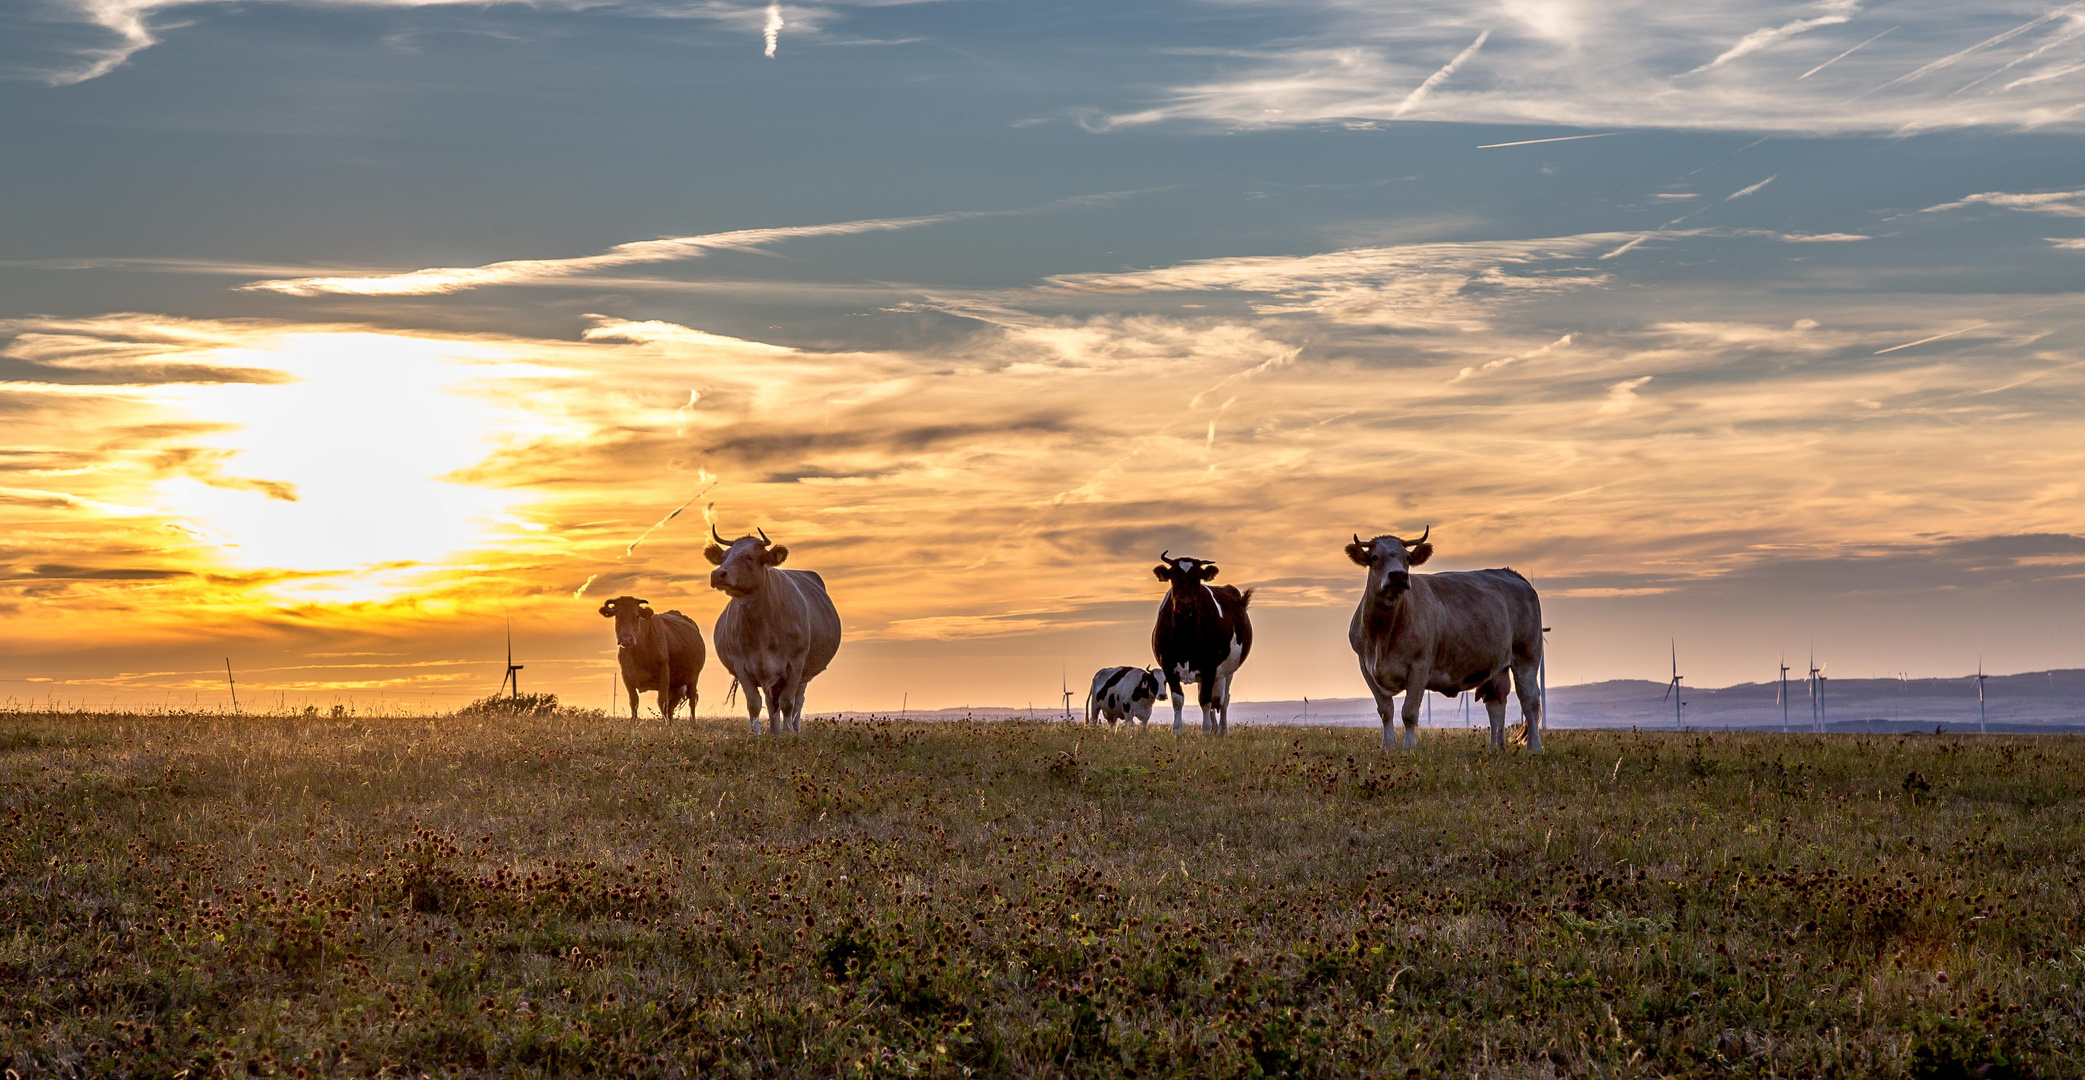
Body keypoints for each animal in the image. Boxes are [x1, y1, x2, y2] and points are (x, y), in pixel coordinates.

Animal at [596, 596, 708, 725]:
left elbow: (661, 701)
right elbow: (634, 702)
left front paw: (665, 724)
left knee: (691, 699)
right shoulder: (626, 676)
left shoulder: (664, 674)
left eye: (637, 616)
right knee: (672, 705)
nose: (626, 640)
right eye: (617, 616)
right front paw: (633, 723)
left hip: (693, 677)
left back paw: (692, 722)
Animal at [708, 525, 838, 738]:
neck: (763, 626)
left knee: (797, 701)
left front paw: (787, 732)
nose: (717, 574)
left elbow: (788, 702)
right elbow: (754, 703)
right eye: (724, 557)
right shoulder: (742, 665)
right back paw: (773, 730)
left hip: (803, 674)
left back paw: (792, 729)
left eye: (750, 557)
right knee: (771, 703)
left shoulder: (795, 664)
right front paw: (756, 733)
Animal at [1150, 550, 1242, 738]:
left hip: (1228, 670)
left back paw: (1222, 730)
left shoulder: (1210, 665)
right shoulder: (1168, 664)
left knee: (1224, 700)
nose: (1185, 604)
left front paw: (1205, 731)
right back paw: (1215, 729)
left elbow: (1205, 700)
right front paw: (1177, 730)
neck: (1186, 633)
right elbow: (1178, 699)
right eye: (1173, 577)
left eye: (1197, 577)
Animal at [1342, 531, 1542, 754]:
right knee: (1496, 702)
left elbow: (1409, 712)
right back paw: (1494, 749)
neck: (1383, 634)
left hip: (1527, 654)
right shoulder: (1366, 667)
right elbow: (1386, 710)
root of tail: (1510, 573)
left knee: (1530, 699)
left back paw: (1534, 747)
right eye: (1375, 557)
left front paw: (1409, 747)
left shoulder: (1419, 667)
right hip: (1496, 665)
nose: (1399, 575)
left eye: (1407, 558)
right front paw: (1388, 746)